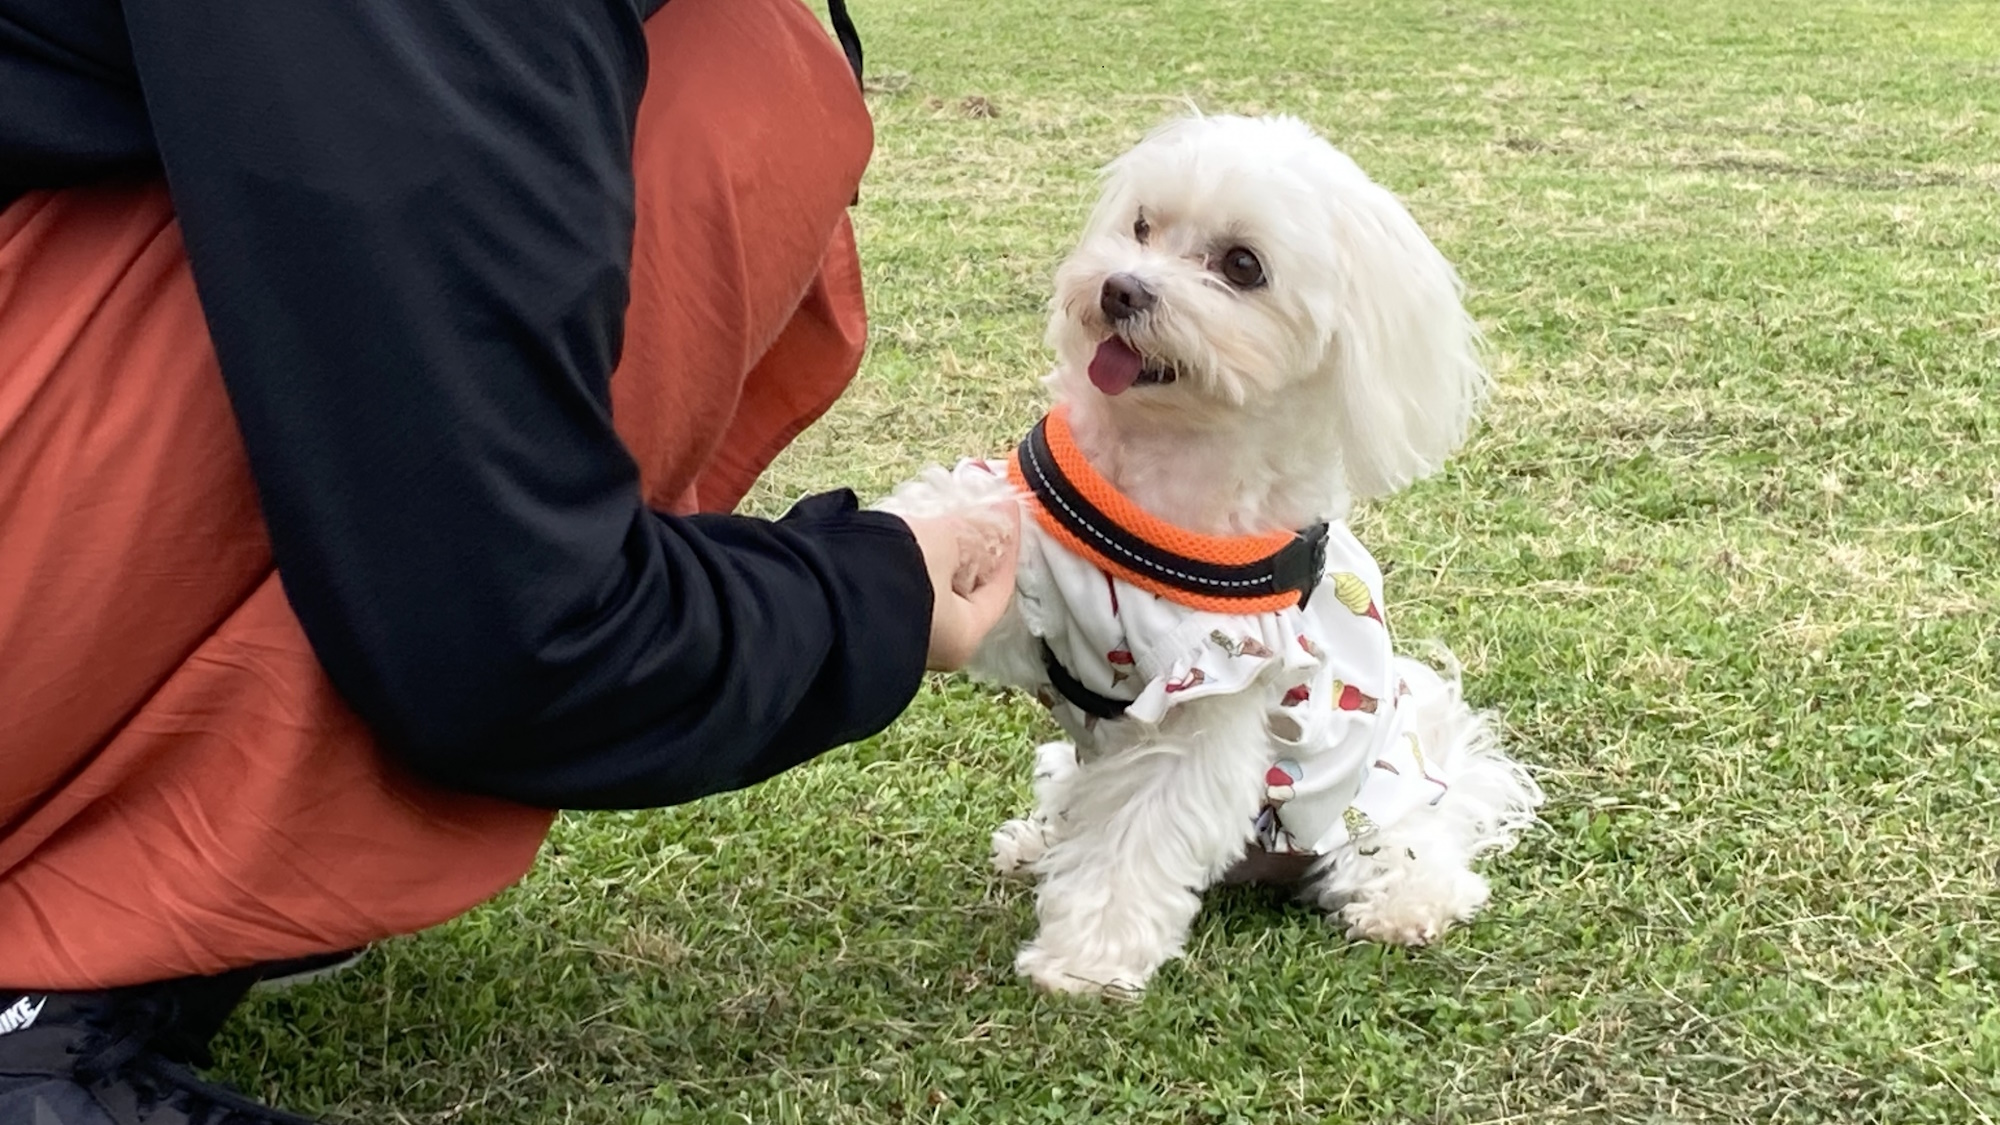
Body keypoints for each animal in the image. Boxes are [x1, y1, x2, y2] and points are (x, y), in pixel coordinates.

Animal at [880, 114, 1544, 988]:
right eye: (1141, 227)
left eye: (1241, 265)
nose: (1120, 288)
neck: (1167, 471)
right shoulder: (1045, 583)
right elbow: (980, 518)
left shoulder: (1208, 697)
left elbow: (1134, 838)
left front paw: (1083, 961)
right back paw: (1036, 842)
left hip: (1372, 803)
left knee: (1415, 850)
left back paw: (1405, 904)